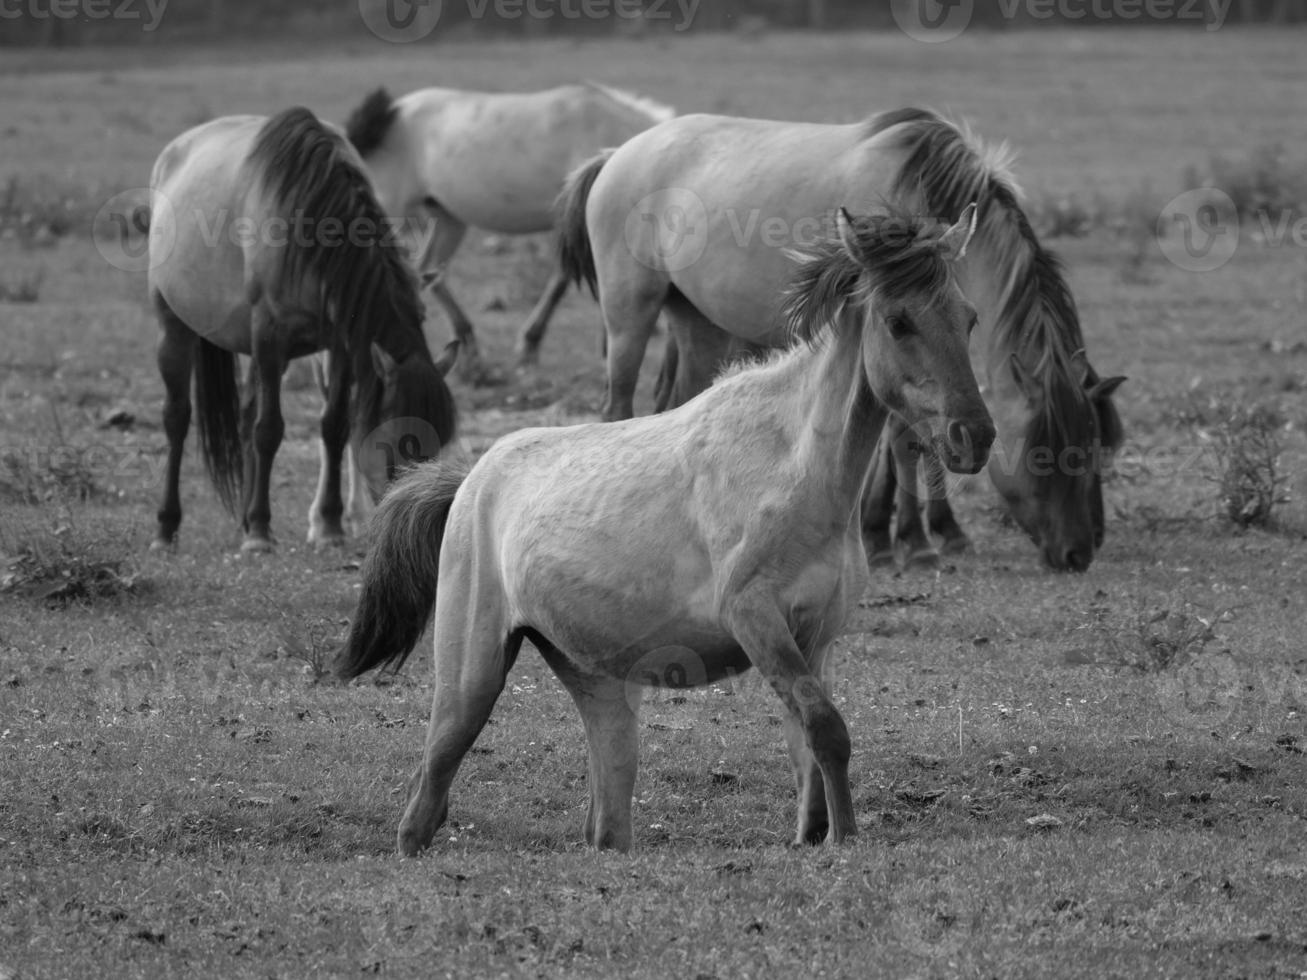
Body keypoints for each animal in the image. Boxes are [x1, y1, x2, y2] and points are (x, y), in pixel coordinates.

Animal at [148, 108, 460, 556]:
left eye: (441, 445)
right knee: (177, 418)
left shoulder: (342, 343)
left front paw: (328, 524)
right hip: (174, 326)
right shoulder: (269, 336)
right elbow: (269, 430)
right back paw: (167, 528)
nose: (416, 520)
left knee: (244, 415)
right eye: (397, 446)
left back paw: (242, 520)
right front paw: (261, 533)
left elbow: (334, 427)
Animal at [342, 83, 674, 376]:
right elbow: (564, 281)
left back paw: (468, 346)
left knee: (427, 271)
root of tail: (392, 112)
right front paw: (532, 346)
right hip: (390, 211)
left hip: (448, 220)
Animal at [559, 108, 1124, 574]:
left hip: (697, 322)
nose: (1082, 551)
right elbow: (906, 443)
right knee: (616, 407)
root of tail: (616, 155)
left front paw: (903, 532)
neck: (920, 186)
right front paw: (912, 540)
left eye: (971, 321)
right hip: (630, 315)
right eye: (1045, 453)